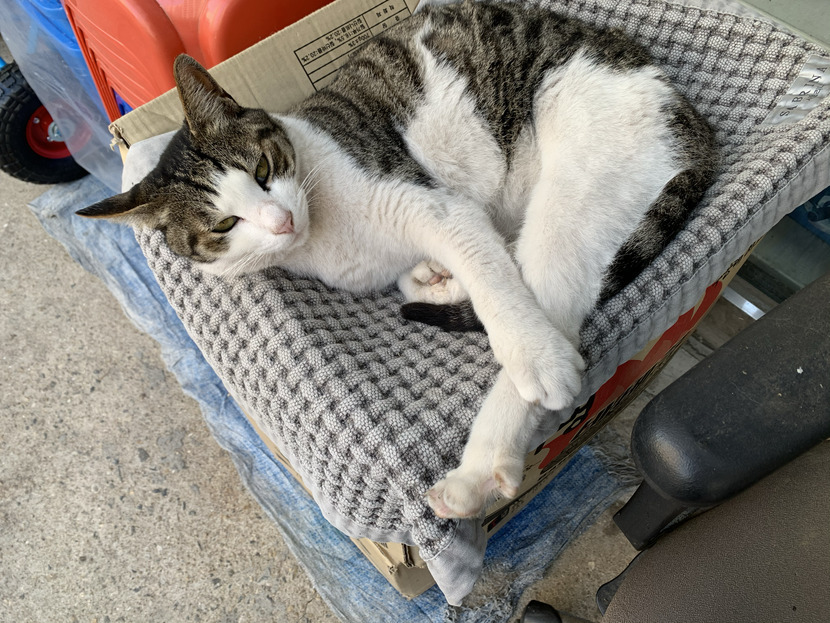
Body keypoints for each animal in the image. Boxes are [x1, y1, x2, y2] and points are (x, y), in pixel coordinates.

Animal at [77, 0, 717, 520]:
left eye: (262, 169)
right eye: (223, 226)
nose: (281, 222)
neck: (323, 236)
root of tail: (689, 114)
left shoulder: (437, 206)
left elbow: (494, 280)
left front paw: (508, 328)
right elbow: (460, 264)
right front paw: (430, 276)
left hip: (575, 179)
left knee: (551, 301)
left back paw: (482, 465)